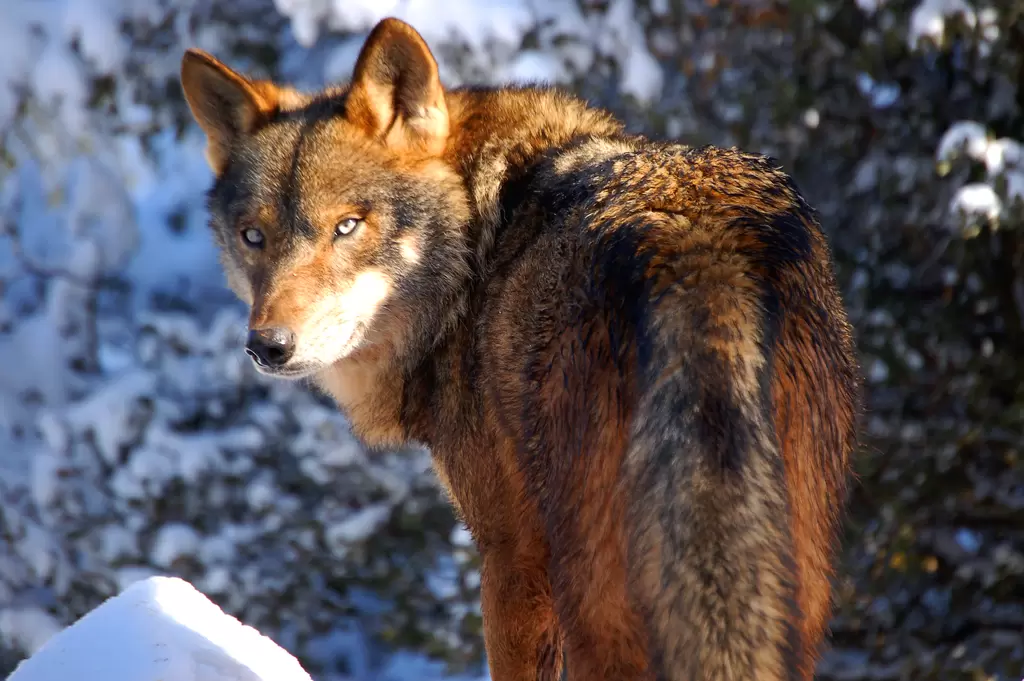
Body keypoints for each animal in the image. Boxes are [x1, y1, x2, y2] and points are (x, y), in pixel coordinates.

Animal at [180, 17, 861, 681]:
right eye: (253, 236)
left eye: (347, 226)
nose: (268, 346)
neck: (477, 256)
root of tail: (699, 249)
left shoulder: (511, 556)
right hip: (792, 582)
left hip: (596, 595)